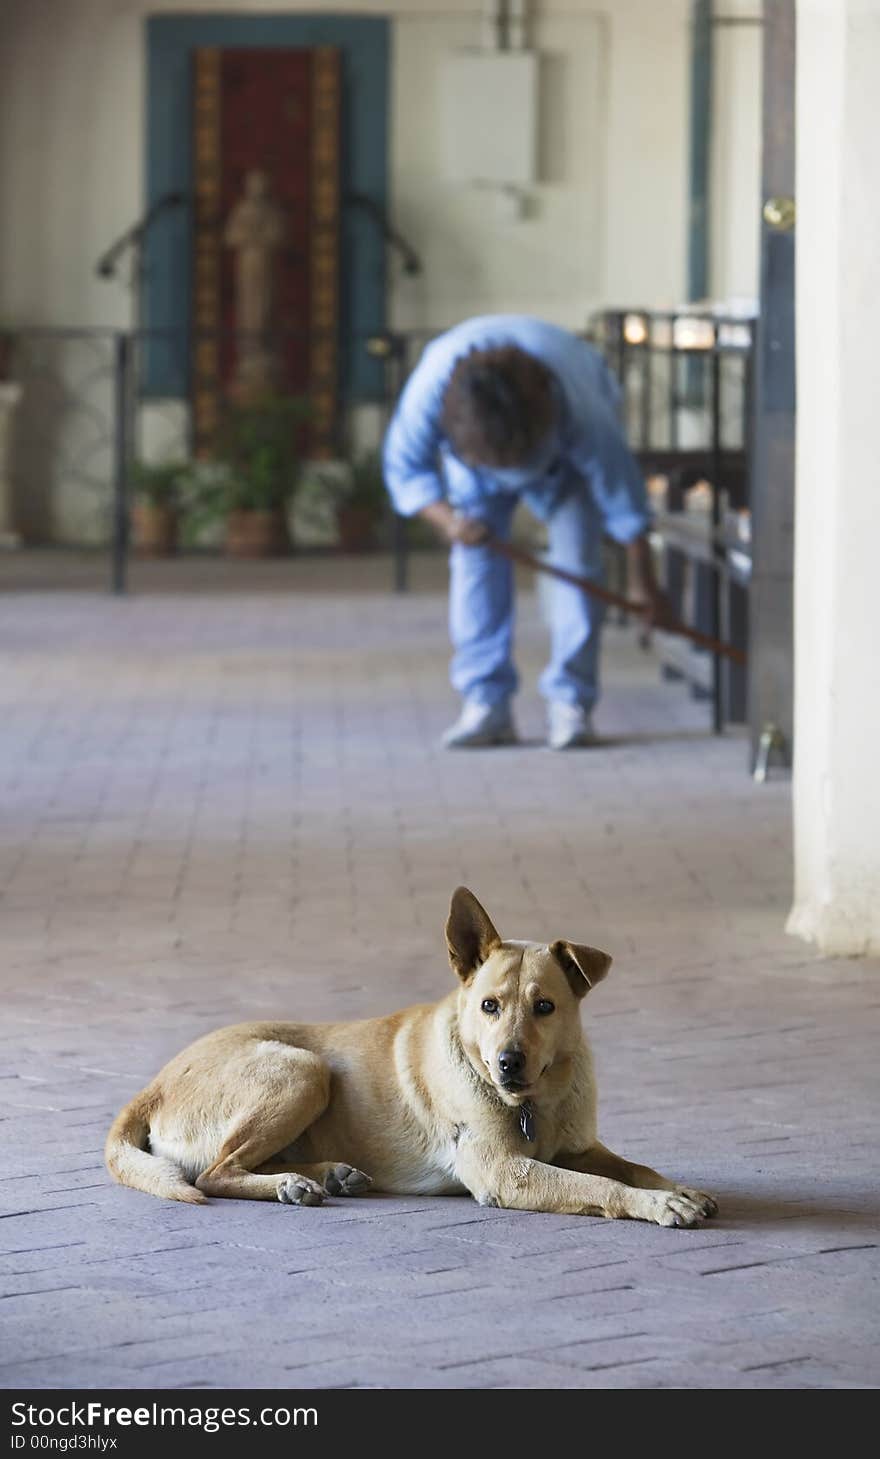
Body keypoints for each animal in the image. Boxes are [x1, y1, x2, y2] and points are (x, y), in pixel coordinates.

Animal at [106, 881, 720, 1225]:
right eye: (490, 1005)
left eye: (544, 1006)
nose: (508, 1062)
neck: (535, 1102)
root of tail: (151, 1086)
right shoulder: (503, 1170)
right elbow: (601, 1186)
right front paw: (658, 1205)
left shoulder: (580, 1147)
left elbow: (635, 1166)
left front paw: (678, 1188)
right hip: (303, 1069)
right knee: (214, 1173)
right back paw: (290, 1185)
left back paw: (325, 1175)